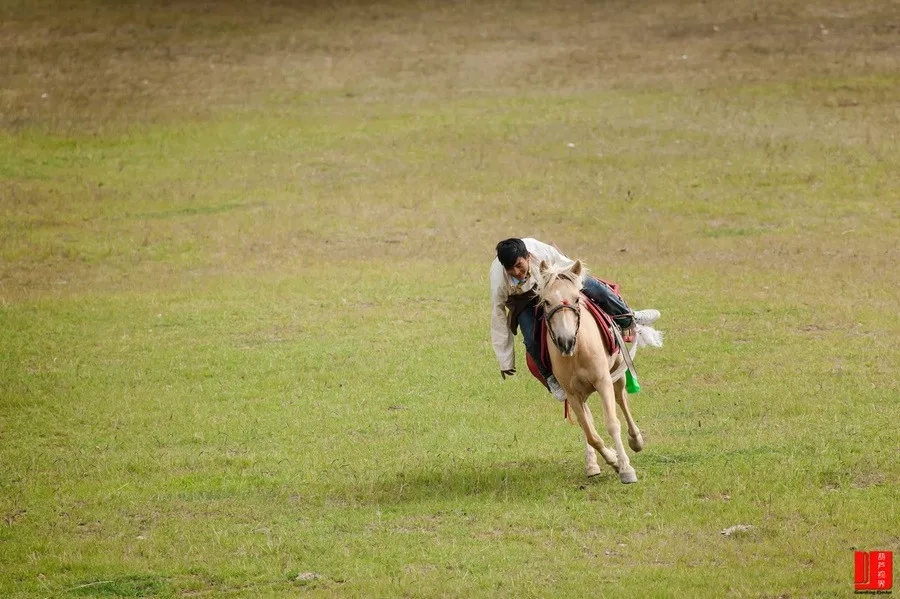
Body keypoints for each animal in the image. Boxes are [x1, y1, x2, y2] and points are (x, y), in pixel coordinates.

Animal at [536, 260, 652, 486]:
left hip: (617, 371)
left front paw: (626, 469)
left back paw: (635, 440)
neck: (577, 352)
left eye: (576, 298)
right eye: (546, 302)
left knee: (621, 400)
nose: (566, 341)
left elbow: (612, 423)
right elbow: (590, 433)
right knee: (587, 420)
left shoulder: (603, 381)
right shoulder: (572, 394)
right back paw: (592, 464)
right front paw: (613, 460)